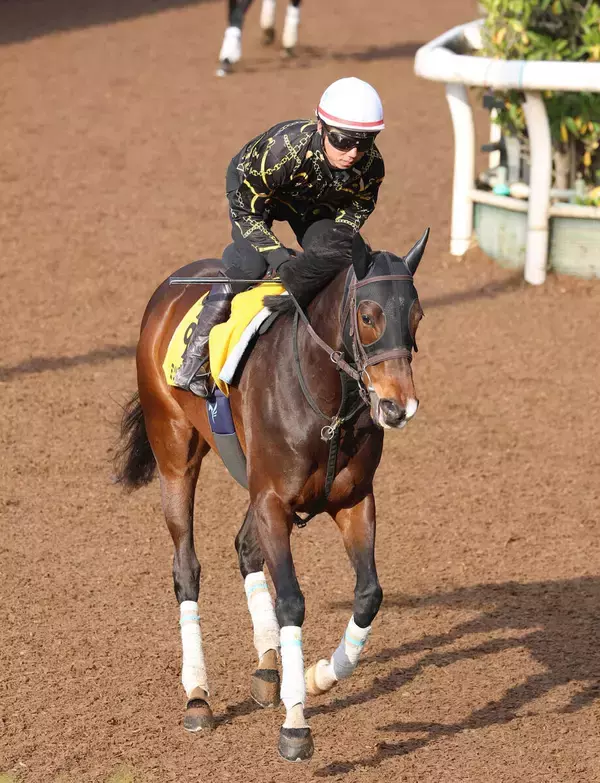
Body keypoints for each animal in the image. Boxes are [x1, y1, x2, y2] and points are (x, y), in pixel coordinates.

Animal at [113, 225, 429, 761]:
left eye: (417, 315)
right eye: (368, 315)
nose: (397, 407)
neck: (326, 402)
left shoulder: (351, 501)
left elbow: (368, 594)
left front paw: (318, 675)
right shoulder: (273, 503)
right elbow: (293, 602)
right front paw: (296, 723)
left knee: (245, 548)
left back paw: (267, 668)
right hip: (175, 455)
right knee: (186, 569)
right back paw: (197, 695)